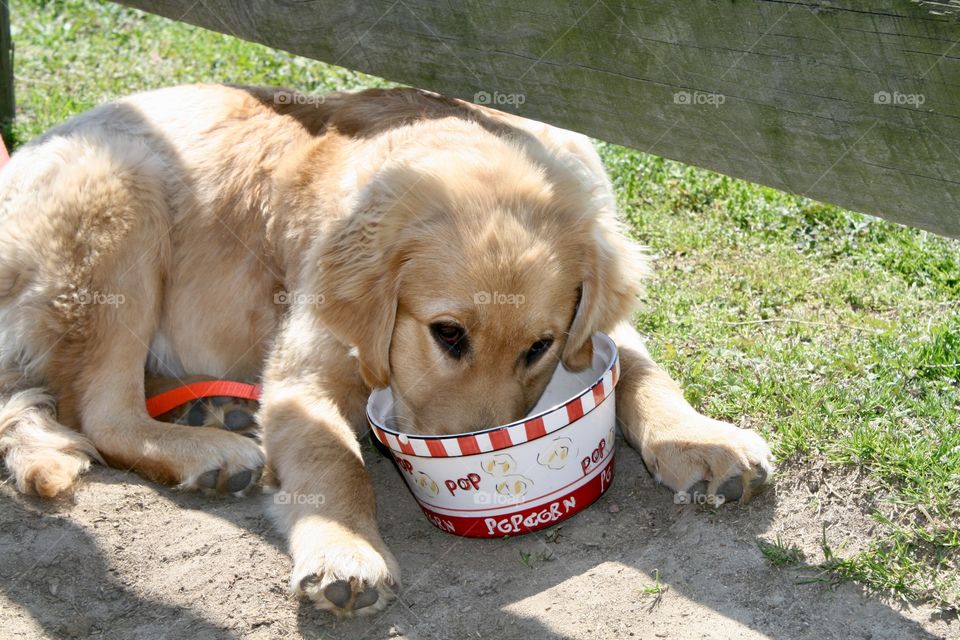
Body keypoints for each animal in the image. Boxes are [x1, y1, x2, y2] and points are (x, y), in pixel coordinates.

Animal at [0, 85, 768, 616]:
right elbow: (335, 462)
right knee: (98, 411)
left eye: (540, 347)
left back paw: (211, 413)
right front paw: (345, 552)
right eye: (448, 334)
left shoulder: (597, 330)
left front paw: (701, 440)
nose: (482, 459)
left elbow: (642, 370)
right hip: (121, 200)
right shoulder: (301, 373)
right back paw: (210, 450)